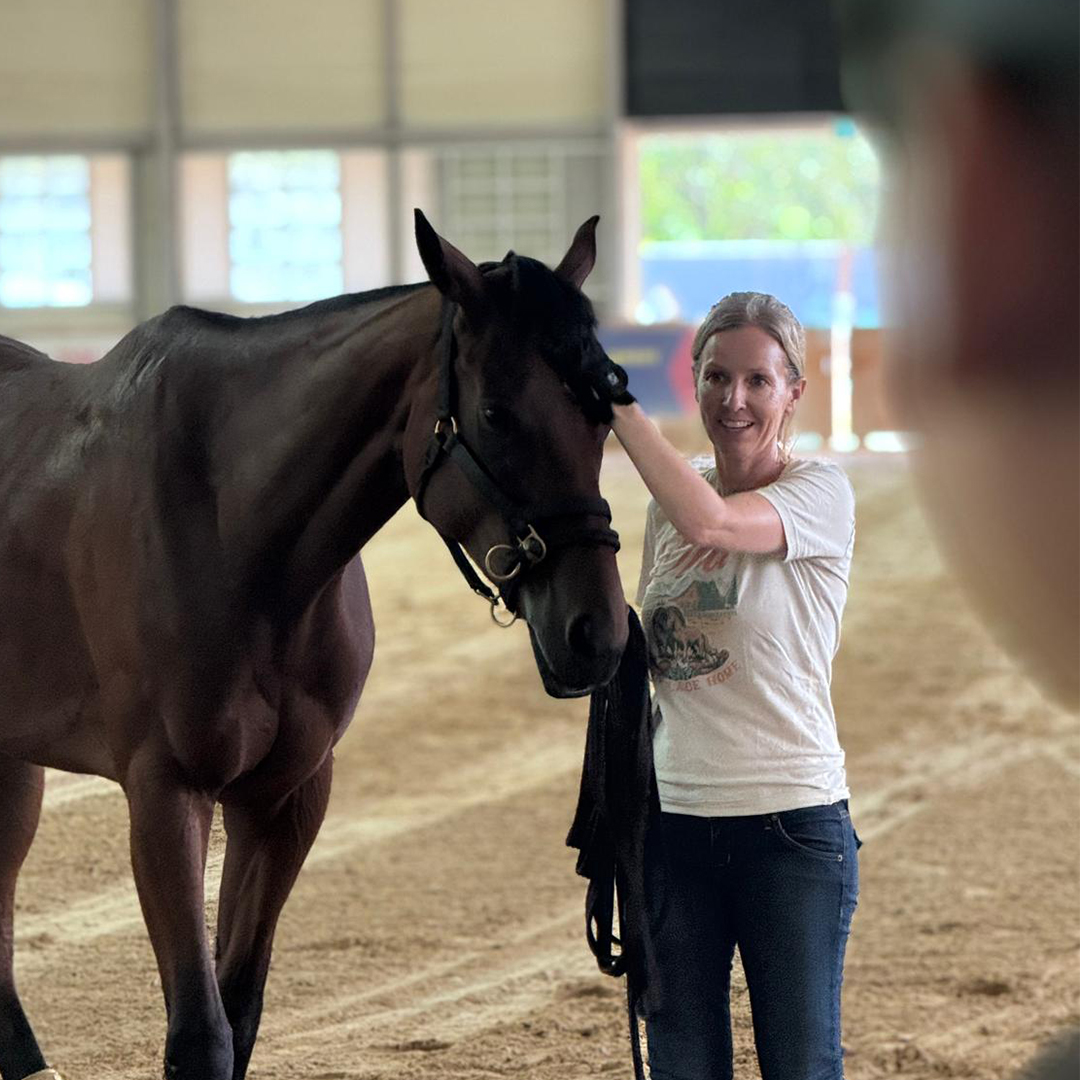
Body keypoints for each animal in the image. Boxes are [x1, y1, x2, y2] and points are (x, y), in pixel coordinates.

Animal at [0, 210, 629, 1080]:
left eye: (603, 413)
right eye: (497, 414)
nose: (595, 632)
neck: (238, 532)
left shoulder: (285, 799)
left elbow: (239, 1014)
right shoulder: (165, 794)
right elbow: (200, 1034)